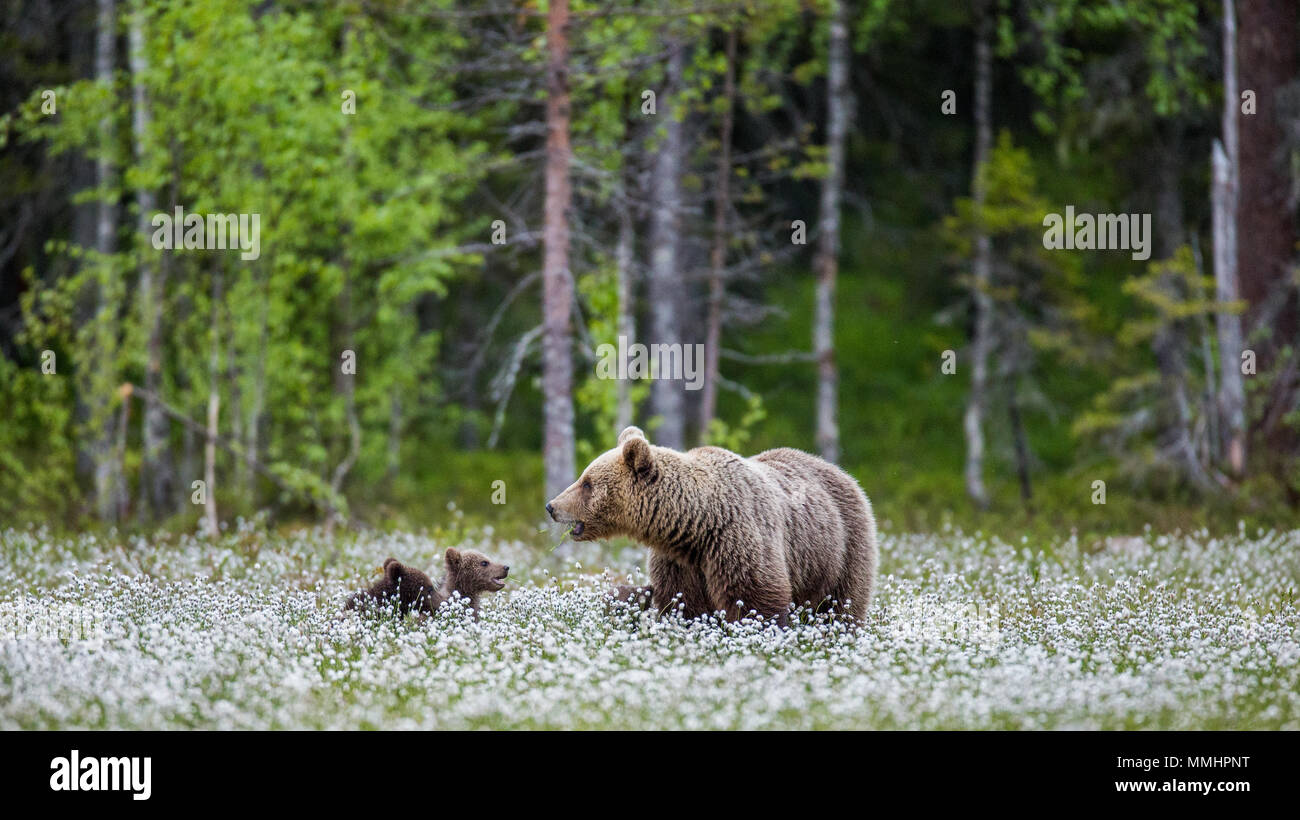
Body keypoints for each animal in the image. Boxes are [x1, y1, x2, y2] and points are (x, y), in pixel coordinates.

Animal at [546, 426, 877, 624]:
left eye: (587, 483)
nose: (552, 506)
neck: (697, 524)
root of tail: (841, 472)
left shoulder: (738, 539)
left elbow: (756, 599)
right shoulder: (679, 562)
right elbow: (683, 604)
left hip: (841, 548)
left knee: (841, 605)